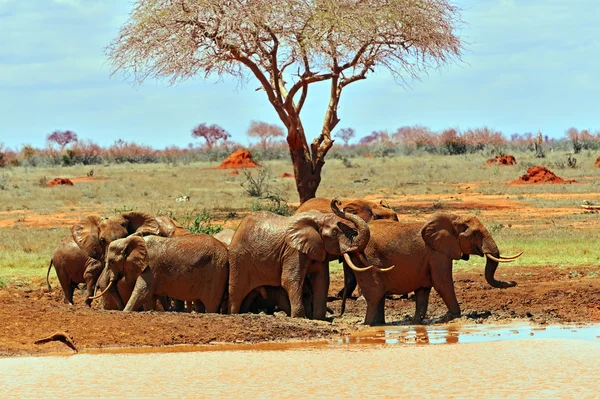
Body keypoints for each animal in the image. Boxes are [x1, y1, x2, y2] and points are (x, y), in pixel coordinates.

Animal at [90, 234, 229, 312]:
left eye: (111, 262)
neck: (129, 240)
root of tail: (226, 250)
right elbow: (149, 298)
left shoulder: (151, 267)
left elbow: (142, 293)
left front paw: (126, 311)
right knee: (200, 304)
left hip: (216, 272)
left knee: (211, 305)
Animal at [229, 200, 390, 322]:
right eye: (334, 233)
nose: (336, 201)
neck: (319, 218)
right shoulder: (293, 250)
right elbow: (290, 279)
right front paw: (300, 317)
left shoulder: (319, 249)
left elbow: (322, 280)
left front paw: (319, 319)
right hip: (239, 259)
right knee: (237, 291)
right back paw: (233, 314)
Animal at [346, 214, 520, 326]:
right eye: (476, 234)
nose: (514, 282)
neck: (452, 219)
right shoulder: (438, 252)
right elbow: (442, 282)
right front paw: (451, 317)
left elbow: (423, 289)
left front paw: (416, 322)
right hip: (368, 257)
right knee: (375, 293)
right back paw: (368, 326)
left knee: (378, 295)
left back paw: (379, 325)